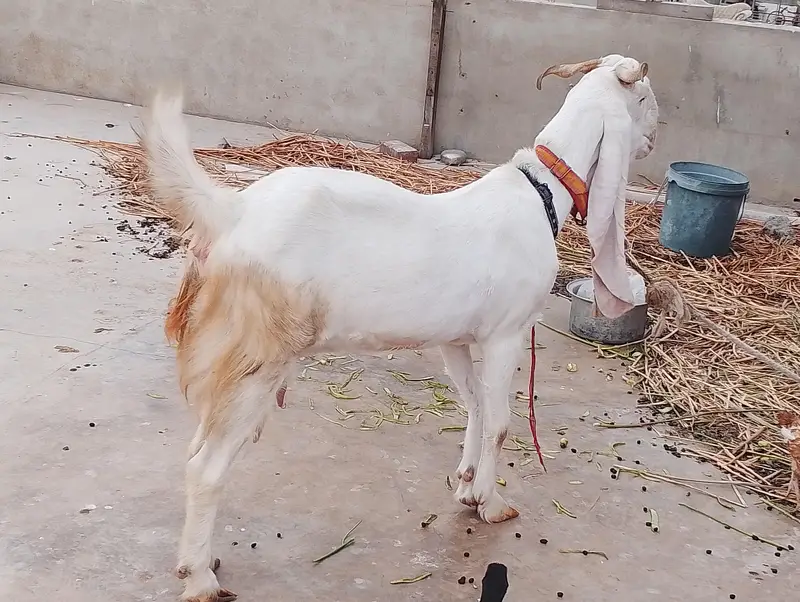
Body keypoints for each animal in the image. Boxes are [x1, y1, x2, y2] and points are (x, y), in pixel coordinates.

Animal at [141, 53, 658, 602]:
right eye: (645, 97)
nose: (653, 139)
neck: (541, 193)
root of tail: (232, 211)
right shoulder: (506, 332)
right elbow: (499, 421)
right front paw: (491, 504)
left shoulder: (456, 338)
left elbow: (474, 404)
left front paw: (466, 484)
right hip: (258, 355)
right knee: (206, 467)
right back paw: (201, 578)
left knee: (198, 444)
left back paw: (201, 558)